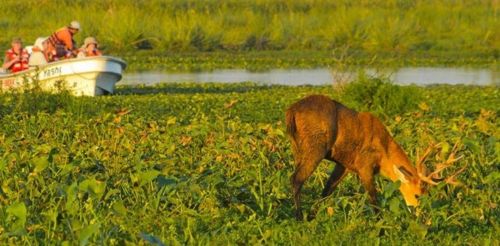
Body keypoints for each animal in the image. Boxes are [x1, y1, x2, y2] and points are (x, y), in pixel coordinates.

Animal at [288, 94, 462, 219]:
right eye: (417, 195)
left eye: (428, 195)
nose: (422, 215)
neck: (384, 154)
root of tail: (291, 110)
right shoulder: (364, 165)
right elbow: (373, 197)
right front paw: (380, 223)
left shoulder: (345, 165)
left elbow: (327, 190)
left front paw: (313, 215)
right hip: (315, 147)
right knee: (296, 178)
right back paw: (298, 216)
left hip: (297, 149)